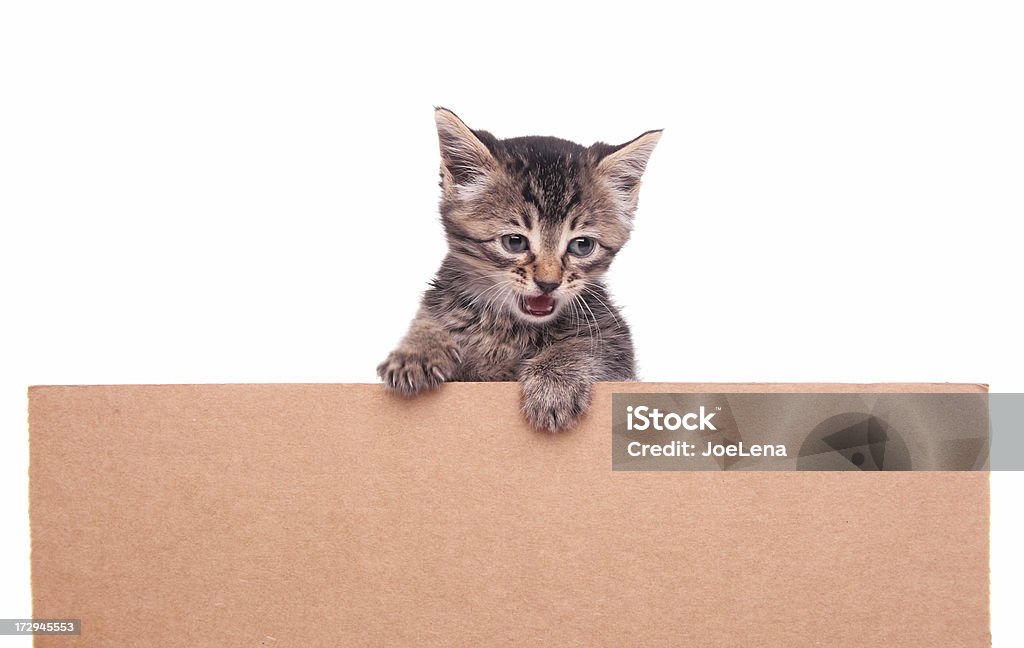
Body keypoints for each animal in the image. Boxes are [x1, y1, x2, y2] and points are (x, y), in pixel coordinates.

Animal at [378, 107, 663, 429]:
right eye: (514, 242)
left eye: (582, 246)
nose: (548, 283)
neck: (506, 326)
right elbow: (429, 318)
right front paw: (418, 348)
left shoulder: (616, 344)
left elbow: (586, 345)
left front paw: (554, 382)